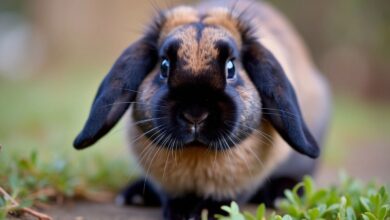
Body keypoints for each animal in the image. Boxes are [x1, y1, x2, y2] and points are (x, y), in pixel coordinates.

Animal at [72, 0, 330, 219]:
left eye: (231, 68)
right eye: (164, 66)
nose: (195, 115)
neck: (197, 153)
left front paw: (205, 211)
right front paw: (180, 211)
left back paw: (280, 193)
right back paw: (135, 195)